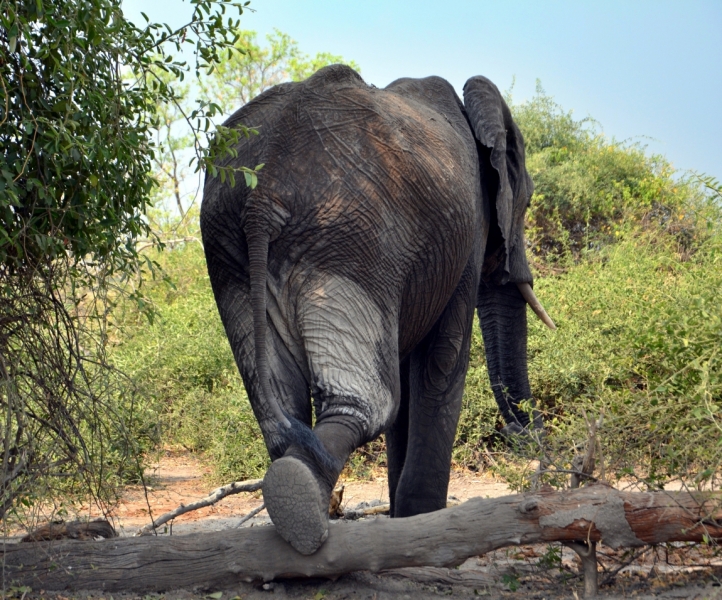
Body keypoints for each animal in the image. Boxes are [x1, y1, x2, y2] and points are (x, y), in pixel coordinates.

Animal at [200, 63, 556, 556]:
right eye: (528, 199)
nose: (536, 449)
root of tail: (261, 195)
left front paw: (401, 523)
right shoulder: (465, 233)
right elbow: (442, 362)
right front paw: (419, 523)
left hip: (235, 258)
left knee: (283, 407)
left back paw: (296, 499)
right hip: (351, 243)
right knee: (370, 401)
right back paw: (303, 506)